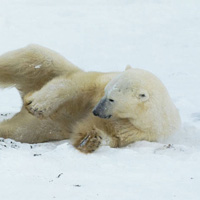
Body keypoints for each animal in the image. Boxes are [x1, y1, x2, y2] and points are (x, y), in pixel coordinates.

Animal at [0, 44, 180, 153]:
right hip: (46, 71)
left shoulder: (142, 130)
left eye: (112, 99)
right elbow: (78, 85)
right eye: (106, 93)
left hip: (48, 126)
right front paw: (37, 105)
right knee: (33, 57)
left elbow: (114, 136)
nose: (95, 111)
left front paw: (90, 139)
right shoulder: (101, 81)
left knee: (21, 130)